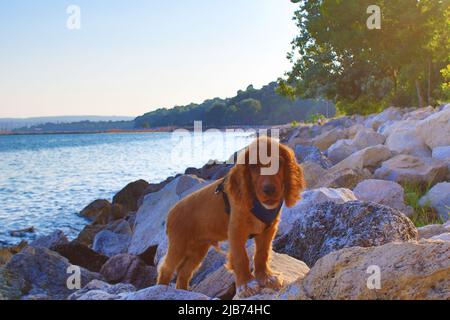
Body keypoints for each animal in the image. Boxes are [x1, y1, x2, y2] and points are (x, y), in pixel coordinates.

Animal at [156, 136, 304, 298]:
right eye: (253, 166)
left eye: (279, 163)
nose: (269, 190)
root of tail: (170, 212)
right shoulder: (236, 231)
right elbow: (241, 257)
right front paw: (246, 285)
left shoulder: (268, 230)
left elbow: (262, 254)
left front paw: (266, 277)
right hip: (178, 245)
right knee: (166, 268)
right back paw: (159, 289)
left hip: (198, 249)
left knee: (184, 271)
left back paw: (183, 291)